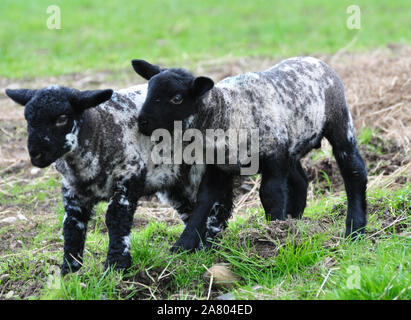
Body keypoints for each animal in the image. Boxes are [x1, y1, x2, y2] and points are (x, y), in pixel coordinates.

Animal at [5, 85, 235, 276]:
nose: (35, 154)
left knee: (215, 200)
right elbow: (71, 226)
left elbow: (115, 218)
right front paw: (69, 272)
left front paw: (117, 266)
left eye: (62, 118)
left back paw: (210, 243)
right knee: (188, 207)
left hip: (203, 165)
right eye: (28, 120)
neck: (98, 131)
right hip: (175, 178)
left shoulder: (128, 176)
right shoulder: (73, 192)